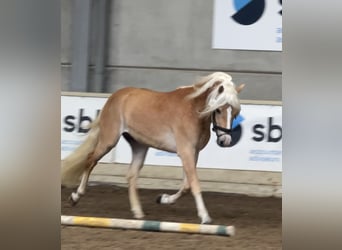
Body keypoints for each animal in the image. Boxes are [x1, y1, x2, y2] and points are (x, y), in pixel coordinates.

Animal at [60, 71, 243, 224]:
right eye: (218, 110)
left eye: (234, 113)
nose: (225, 140)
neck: (194, 111)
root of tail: (116, 96)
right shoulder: (186, 152)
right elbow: (194, 184)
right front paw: (205, 217)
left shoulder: (193, 153)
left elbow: (186, 185)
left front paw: (163, 199)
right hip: (109, 140)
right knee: (91, 159)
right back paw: (75, 197)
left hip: (139, 145)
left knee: (131, 175)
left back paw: (138, 213)